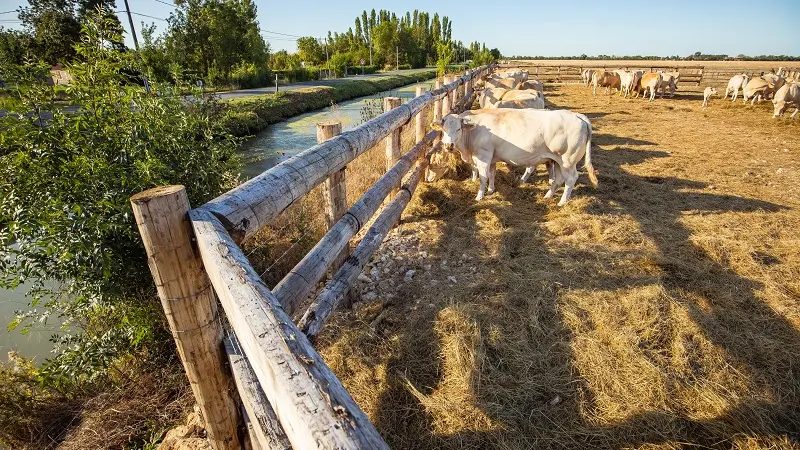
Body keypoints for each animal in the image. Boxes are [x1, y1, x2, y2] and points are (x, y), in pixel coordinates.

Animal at [434, 110, 596, 205]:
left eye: (458, 129)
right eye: (443, 129)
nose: (449, 145)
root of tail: (577, 115)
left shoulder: (483, 156)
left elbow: (483, 177)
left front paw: (480, 196)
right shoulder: (492, 158)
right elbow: (492, 174)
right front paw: (491, 190)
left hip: (568, 161)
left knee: (571, 179)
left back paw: (562, 202)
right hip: (557, 161)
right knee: (558, 179)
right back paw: (548, 195)